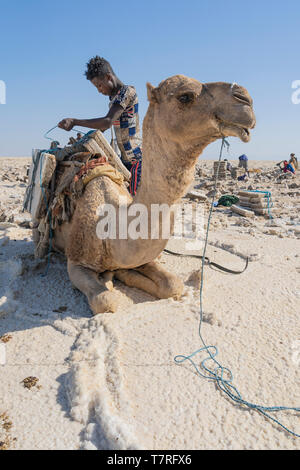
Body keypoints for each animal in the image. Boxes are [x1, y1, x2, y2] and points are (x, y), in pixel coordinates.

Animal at [49, 75, 255, 314]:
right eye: (185, 96)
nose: (245, 99)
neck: (111, 229)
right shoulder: (75, 262)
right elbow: (106, 301)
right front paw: (111, 279)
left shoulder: (143, 258)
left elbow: (173, 285)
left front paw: (121, 274)